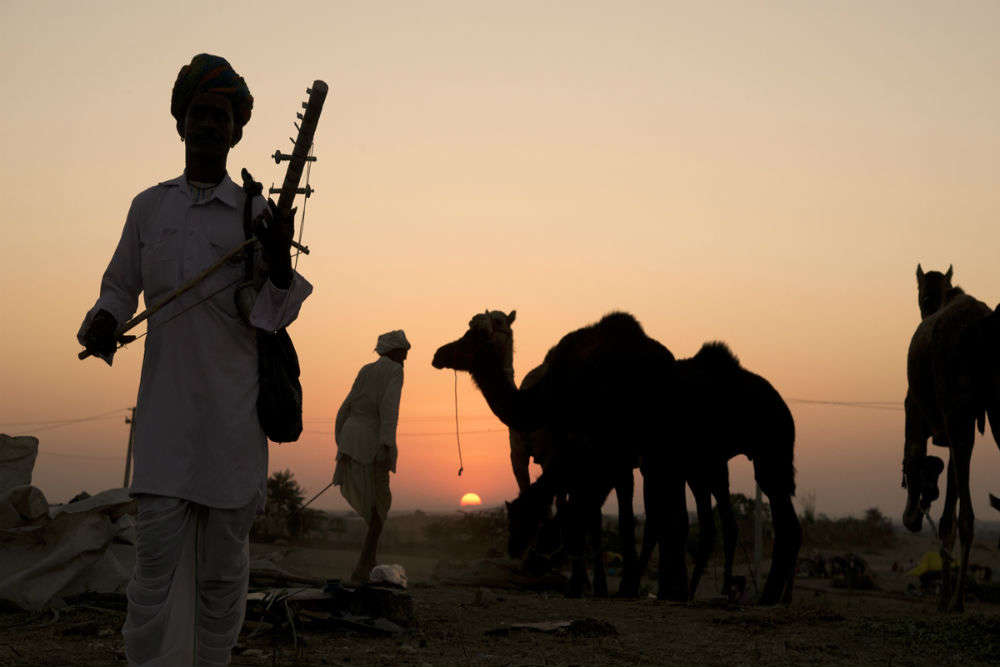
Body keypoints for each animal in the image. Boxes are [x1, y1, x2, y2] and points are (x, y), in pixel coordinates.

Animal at [430, 310, 672, 596]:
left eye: (472, 335)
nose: (439, 354)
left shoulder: (589, 450)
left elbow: (594, 514)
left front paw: (584, 584)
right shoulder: (587, 456)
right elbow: (587, 514)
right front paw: (590, 584)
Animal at [904, 264, 996, 612]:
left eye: (919, 295)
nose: (924, 309)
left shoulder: (916, 411)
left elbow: (914, 456)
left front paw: (914, 514)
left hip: (957, 411)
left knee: (967, 515)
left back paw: (957, 600)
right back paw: (954, 596)